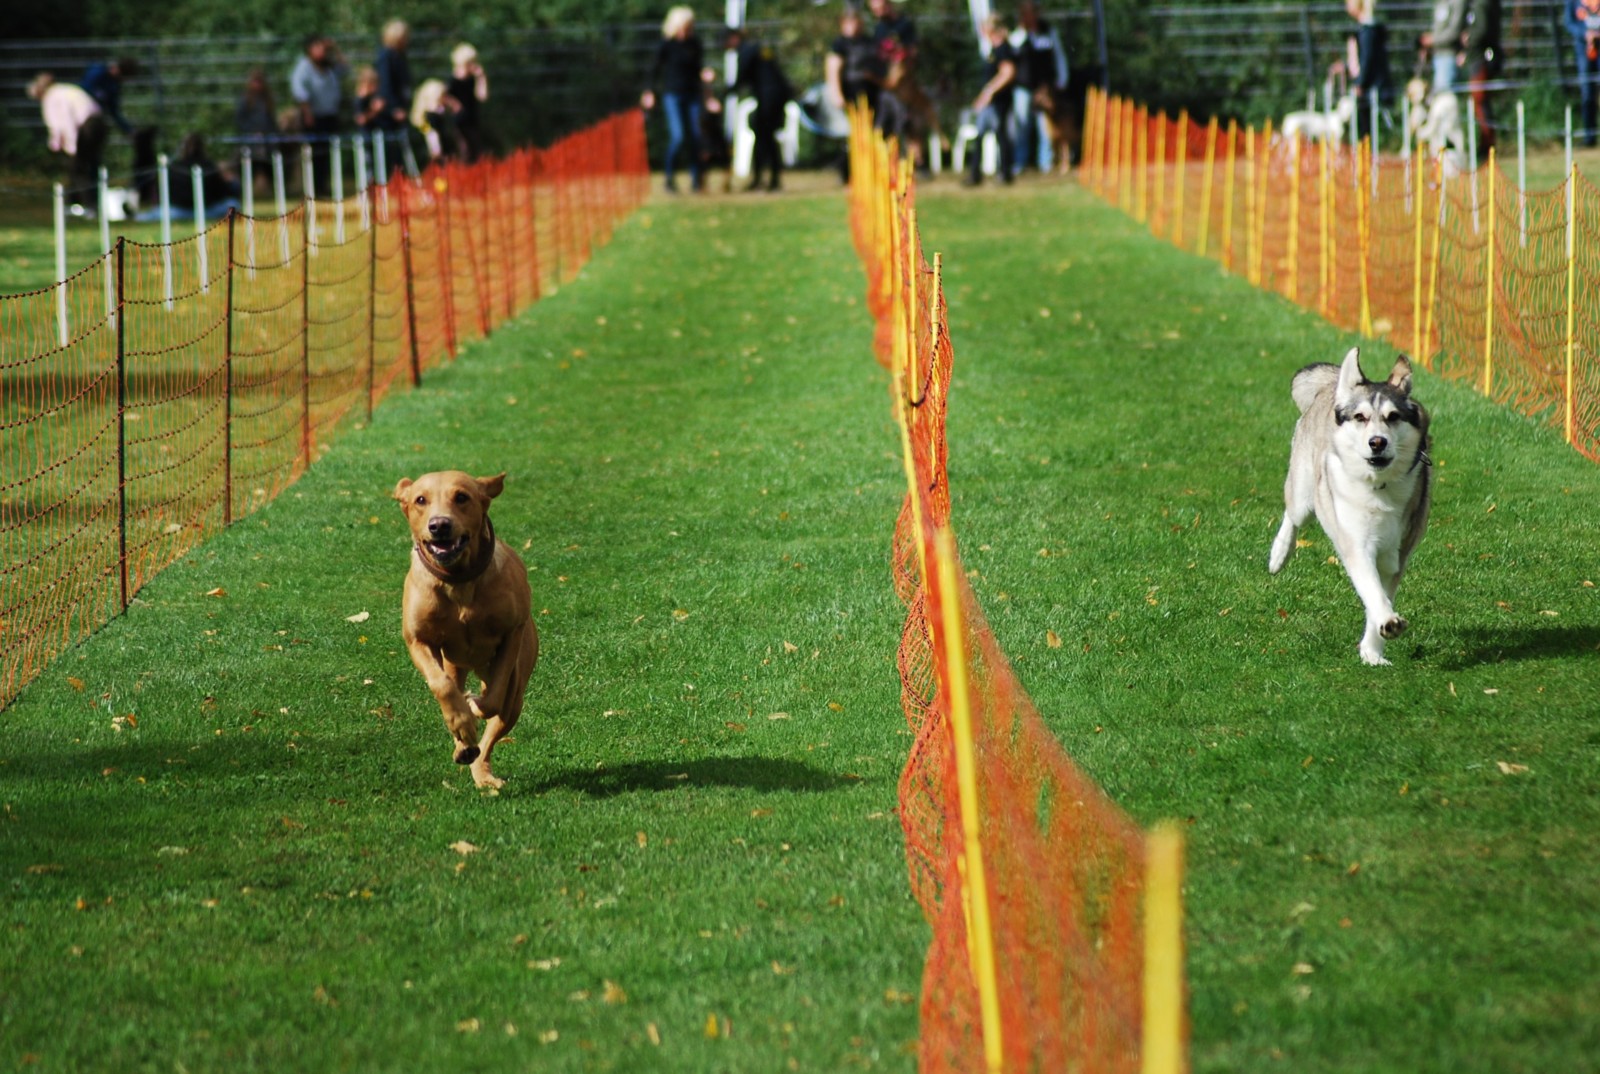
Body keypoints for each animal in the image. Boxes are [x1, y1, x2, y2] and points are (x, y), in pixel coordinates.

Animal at [394, 471, 538, 788]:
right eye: (420, 499)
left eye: (462, 497)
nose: (439, 525)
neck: (458, 581)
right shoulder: (418, 640)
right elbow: (442, 686)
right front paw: (460, 721)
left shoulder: (512, 633)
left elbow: (492, 700)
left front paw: (473, 707)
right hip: (454, 664)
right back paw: (463, 743)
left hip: (517, 690)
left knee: (496, 724)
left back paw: (482, 771)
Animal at [1268, 348, 1432, 666]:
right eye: (1360, 417)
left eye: (1393, 417)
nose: (1377, 442)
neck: (1377, 488)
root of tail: (1333, 384)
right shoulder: (1356, 544)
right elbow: (1372, 589)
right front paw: (1386, 623)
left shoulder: (1396, 554)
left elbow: (1381, 594)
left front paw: (1373, 649)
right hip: (1304, 494)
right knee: (1293, 516)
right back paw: (1279, 553)